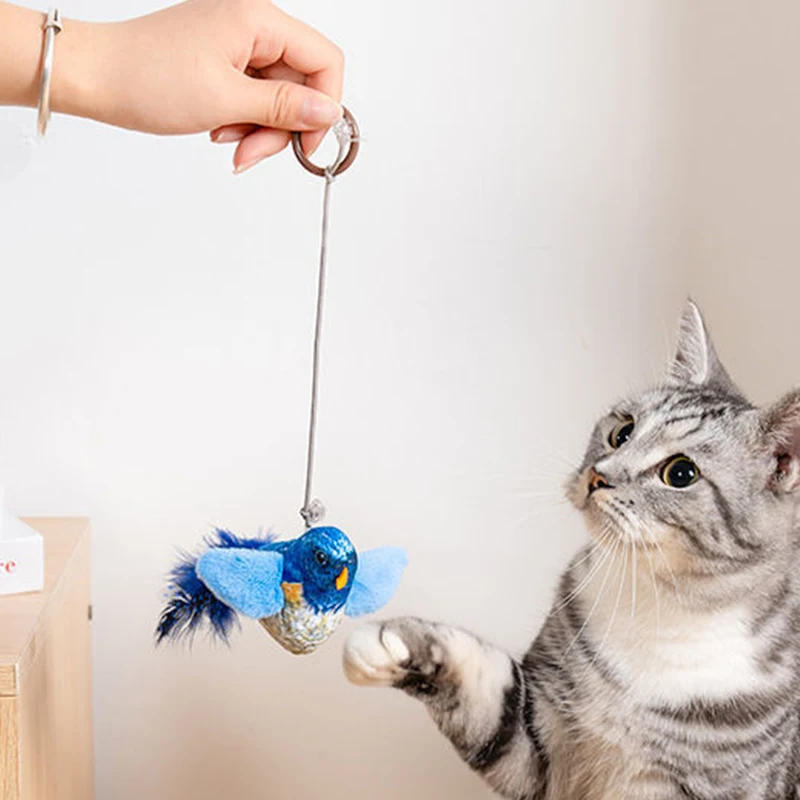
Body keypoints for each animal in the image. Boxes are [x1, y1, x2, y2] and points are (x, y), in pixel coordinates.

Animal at [342, 302, 800, 800]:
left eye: (681, 473)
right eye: (623, 431)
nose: (599, 475)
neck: (659, 602)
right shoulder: (535, 743)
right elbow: (486, 693)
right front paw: (398, 644)